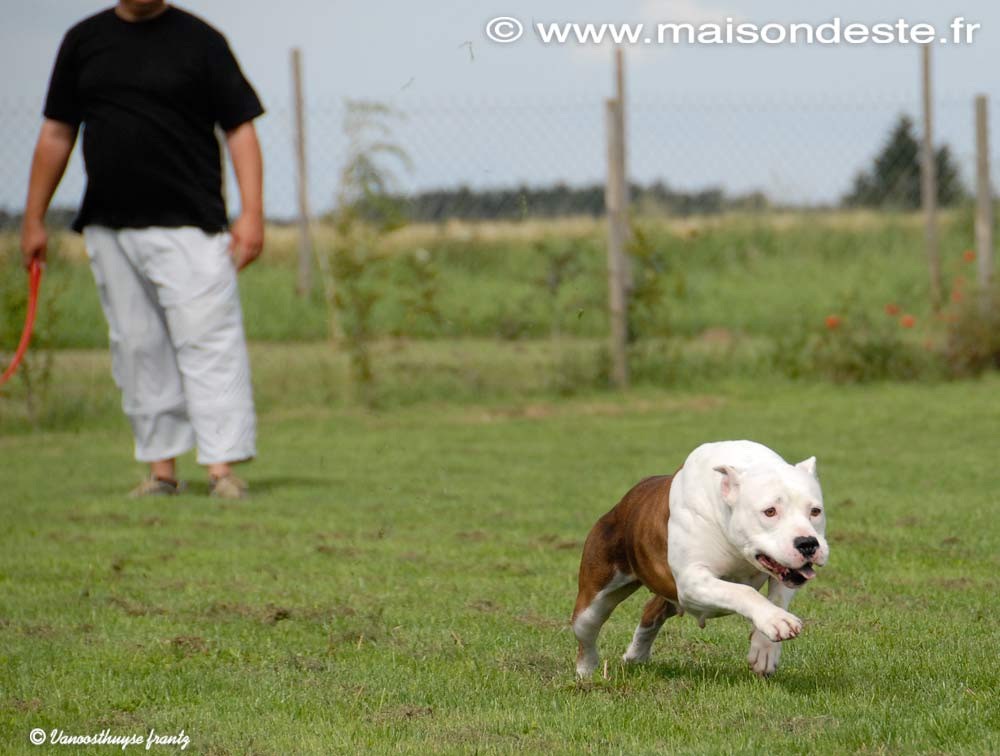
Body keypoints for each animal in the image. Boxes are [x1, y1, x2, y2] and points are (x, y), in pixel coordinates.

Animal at [572, 440, 828, 676]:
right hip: (593, 600)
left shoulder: (786, 573)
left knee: (651, 611)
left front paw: (766, 647)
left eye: (815, 511)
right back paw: (586, 672)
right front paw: (775, 621)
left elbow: (776, 598)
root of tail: (622, 504)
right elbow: (743, 591)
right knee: (586, 631)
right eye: (770, 511)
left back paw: (636, 655)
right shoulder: (692, 581)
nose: (807, 543)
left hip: (671, 594)